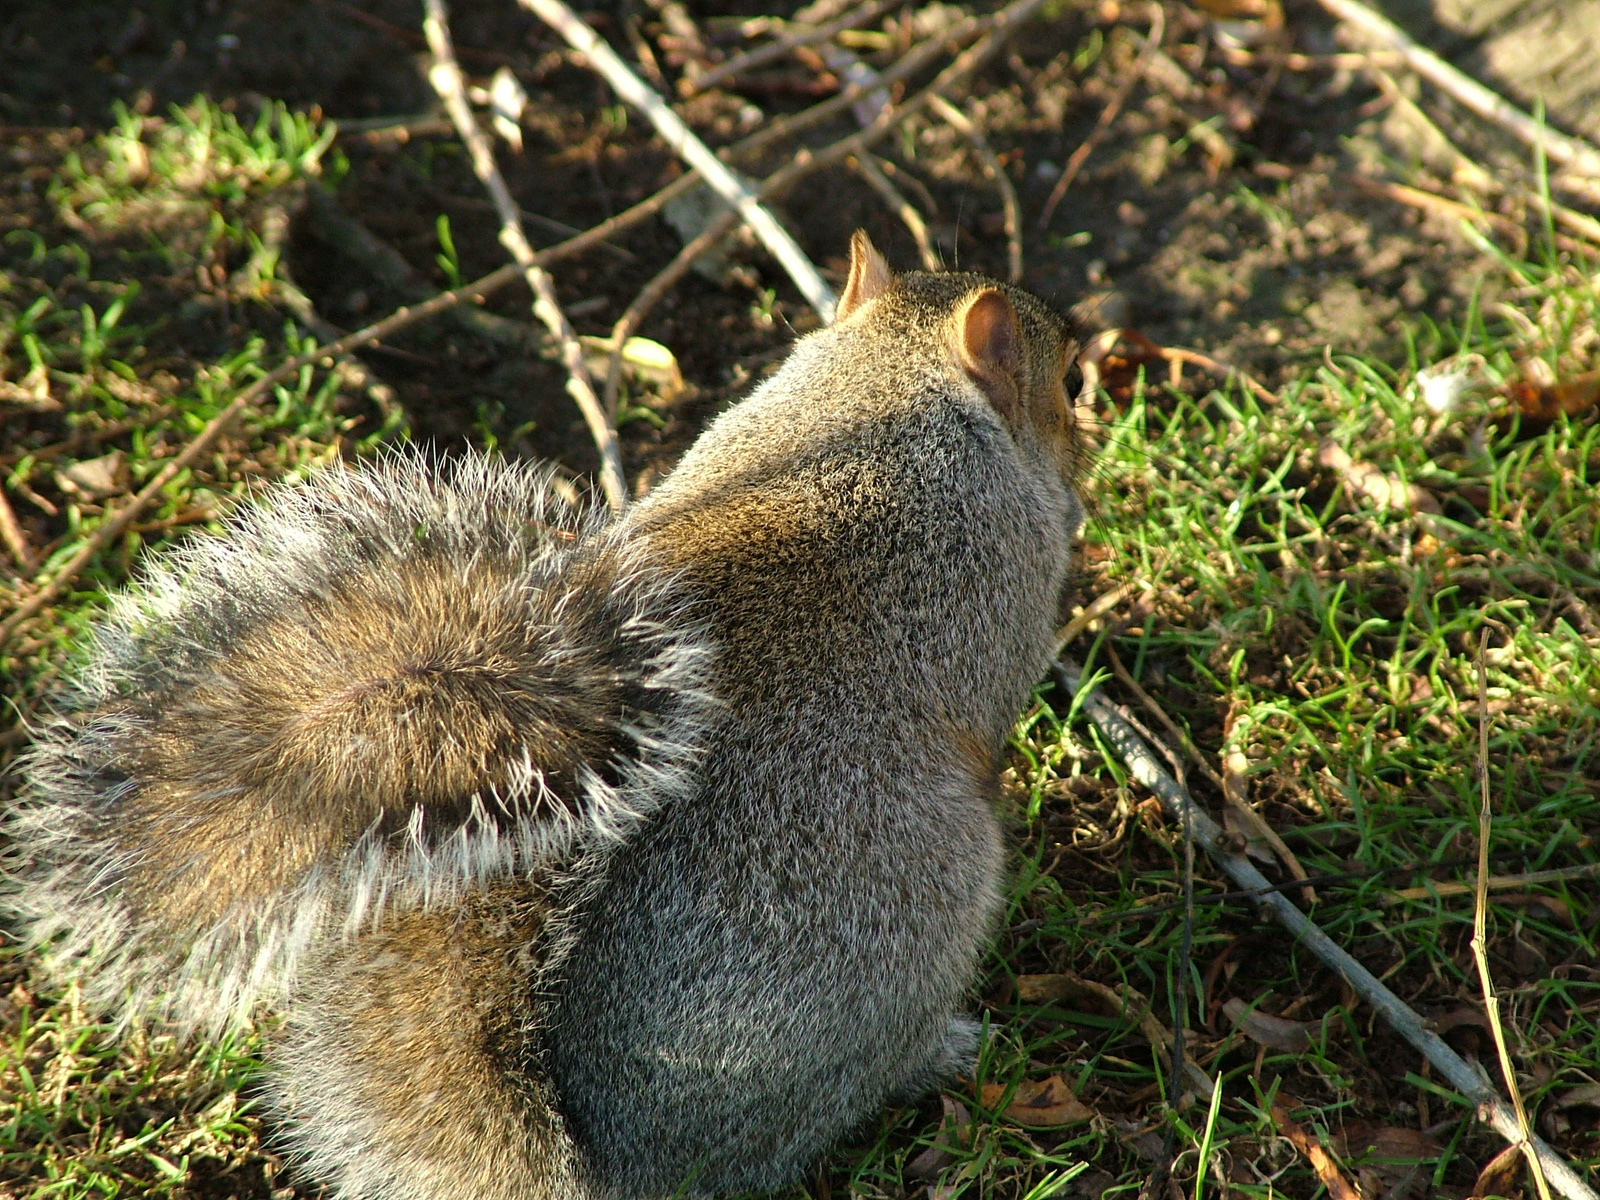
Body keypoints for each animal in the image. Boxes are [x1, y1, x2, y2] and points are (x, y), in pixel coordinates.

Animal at [3, 235, 1088, 1200]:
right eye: (1066, 377)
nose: (1086, 438)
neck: (880, 389)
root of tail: (606, 1162)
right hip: (922, 905)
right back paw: (941, 1050)